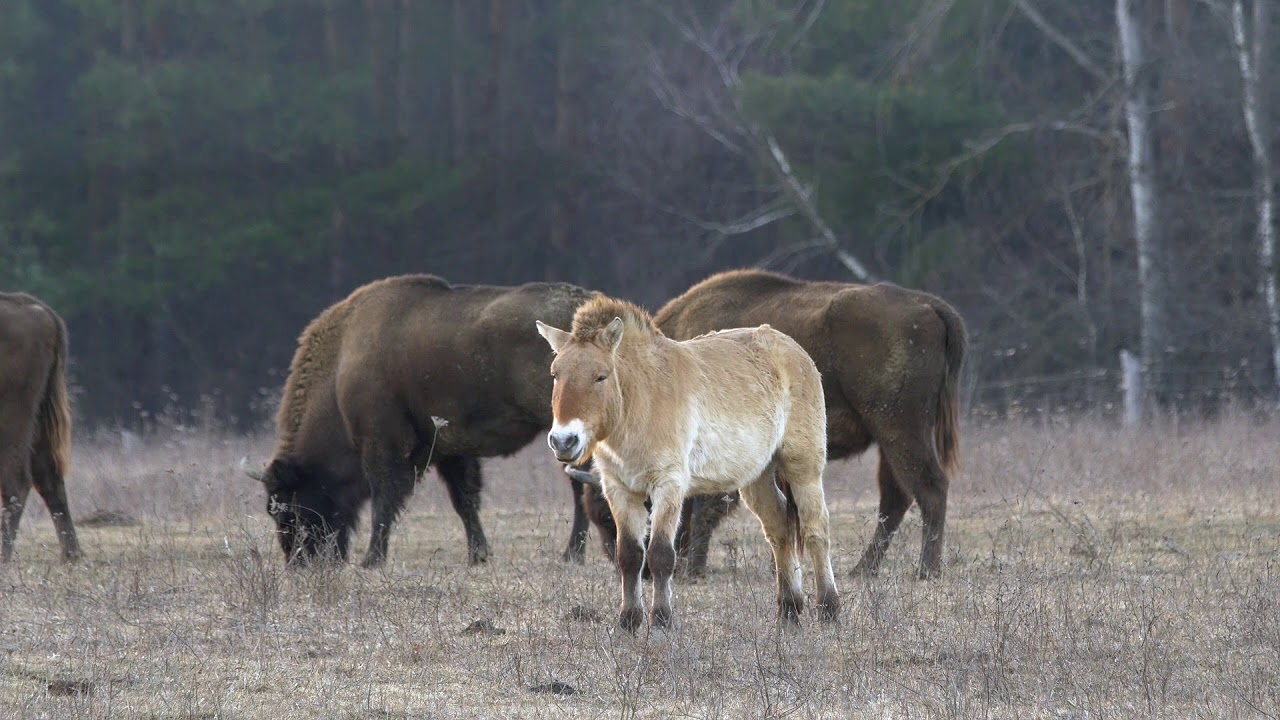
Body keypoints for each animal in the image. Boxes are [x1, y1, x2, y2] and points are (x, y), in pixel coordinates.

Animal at [248, 274, 599, 567]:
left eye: (288, 506)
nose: (300, 562)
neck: (339, 373)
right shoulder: (451, 449)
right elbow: (464, 500)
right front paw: (478, 555)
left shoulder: (382, 445)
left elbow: (384, 498)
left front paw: (372, 559)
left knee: (580, 483)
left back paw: (572, 554)